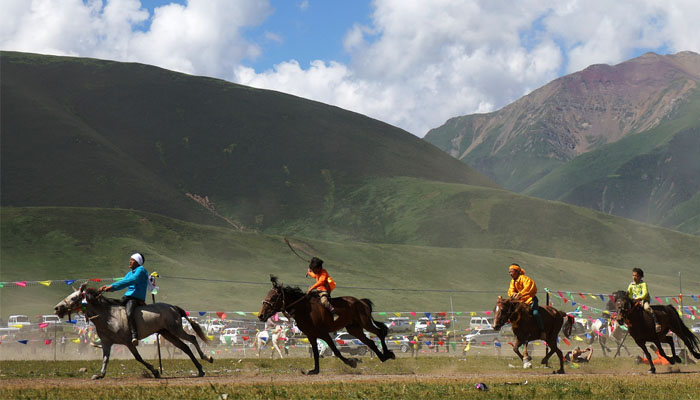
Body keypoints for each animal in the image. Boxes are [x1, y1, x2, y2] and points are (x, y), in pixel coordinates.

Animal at [54, 282, 213, 380]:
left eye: (74, 297)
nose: (57, 308)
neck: (108, 316)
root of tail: (173, 307)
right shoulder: (106, 343)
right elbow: (105, 359)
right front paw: (100, 375)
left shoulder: (129, 342)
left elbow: (138, 358)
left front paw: (155, 371)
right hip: (167, 334)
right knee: (185, 347)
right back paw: (200, 369)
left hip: (176, 329)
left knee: (192, 338)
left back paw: (206, 358)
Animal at [260, 276, 396, 376]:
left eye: (273, 297)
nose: (261, 315)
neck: (305, 310)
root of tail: (361, 301)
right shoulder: (311, 335)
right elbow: (315, 352)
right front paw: (314, 370)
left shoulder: (324, 334)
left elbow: (335, 350)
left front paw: (352, 362)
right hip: (354, 329)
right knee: (370, 342)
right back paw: (383, 357)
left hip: (365, 323)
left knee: (379, 333)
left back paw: (388, 354)